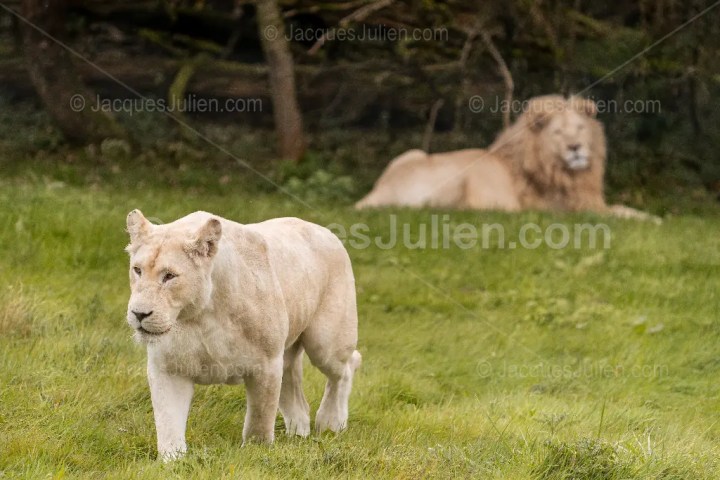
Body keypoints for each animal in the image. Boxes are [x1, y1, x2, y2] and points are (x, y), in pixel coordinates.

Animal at [125, 210, 361, 461]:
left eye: (169, 276)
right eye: (137, 270)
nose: (139, 314)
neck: (201, 316)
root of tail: (325, 231)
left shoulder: (266, 364)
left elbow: (260, 419)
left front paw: (256, 453)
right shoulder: (168, 368)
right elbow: (168, 422)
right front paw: (172, 460)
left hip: (325, 344)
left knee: (346, 367)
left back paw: (332, 423)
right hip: (289, 352)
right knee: (295, 390)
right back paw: (298, 434)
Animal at [355, 95, 657, 222]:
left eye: (580, 127)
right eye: (558, 132)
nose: (575, 147)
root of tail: (379, 191)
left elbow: (622, 208)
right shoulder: (569, 209)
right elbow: (620, 212)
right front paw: (651, 220)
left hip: (411, 153)